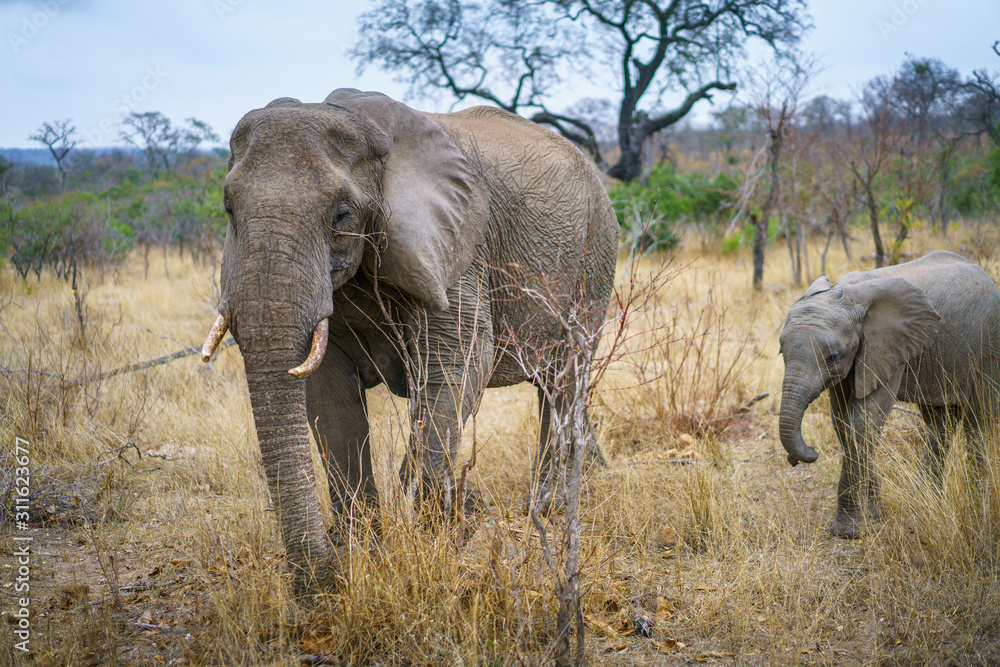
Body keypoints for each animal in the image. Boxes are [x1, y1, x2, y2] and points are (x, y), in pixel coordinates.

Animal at [199, 89, 619, 593]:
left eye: (341, 215)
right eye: (228, 209)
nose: (319, 586)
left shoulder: (457, 248)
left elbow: (456, 361)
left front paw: (445, 528)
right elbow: (329, 395)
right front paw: (360, 551)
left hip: (594, 257)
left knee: (563, 378)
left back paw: (549, 505)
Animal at [778, 251, 1000, 537]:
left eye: (832, 356)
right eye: (781, 351)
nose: (798, 457)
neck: (847, 295)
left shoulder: (888, 347)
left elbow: (863, 422)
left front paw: (847, 532)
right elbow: (842, 422)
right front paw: (875, 515)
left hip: (988, 347)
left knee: (978, 420)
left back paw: (976, 504)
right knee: (940, 422)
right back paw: (923, 500)